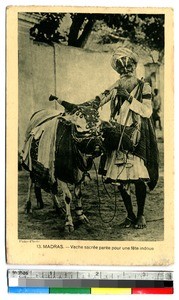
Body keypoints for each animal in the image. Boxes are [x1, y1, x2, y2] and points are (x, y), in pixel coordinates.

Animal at [21, 96, 102, 232]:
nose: (97, 146)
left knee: (50, 185)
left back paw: (58, 207)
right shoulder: (61, 175)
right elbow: (68, 196)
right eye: (78, 126)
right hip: (31, 163)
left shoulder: (79, 174)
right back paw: (28, 206)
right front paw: (69, 222)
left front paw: (81, 216)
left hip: (49, 167)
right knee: (30, 182)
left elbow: (78, 194)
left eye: (100, 125)